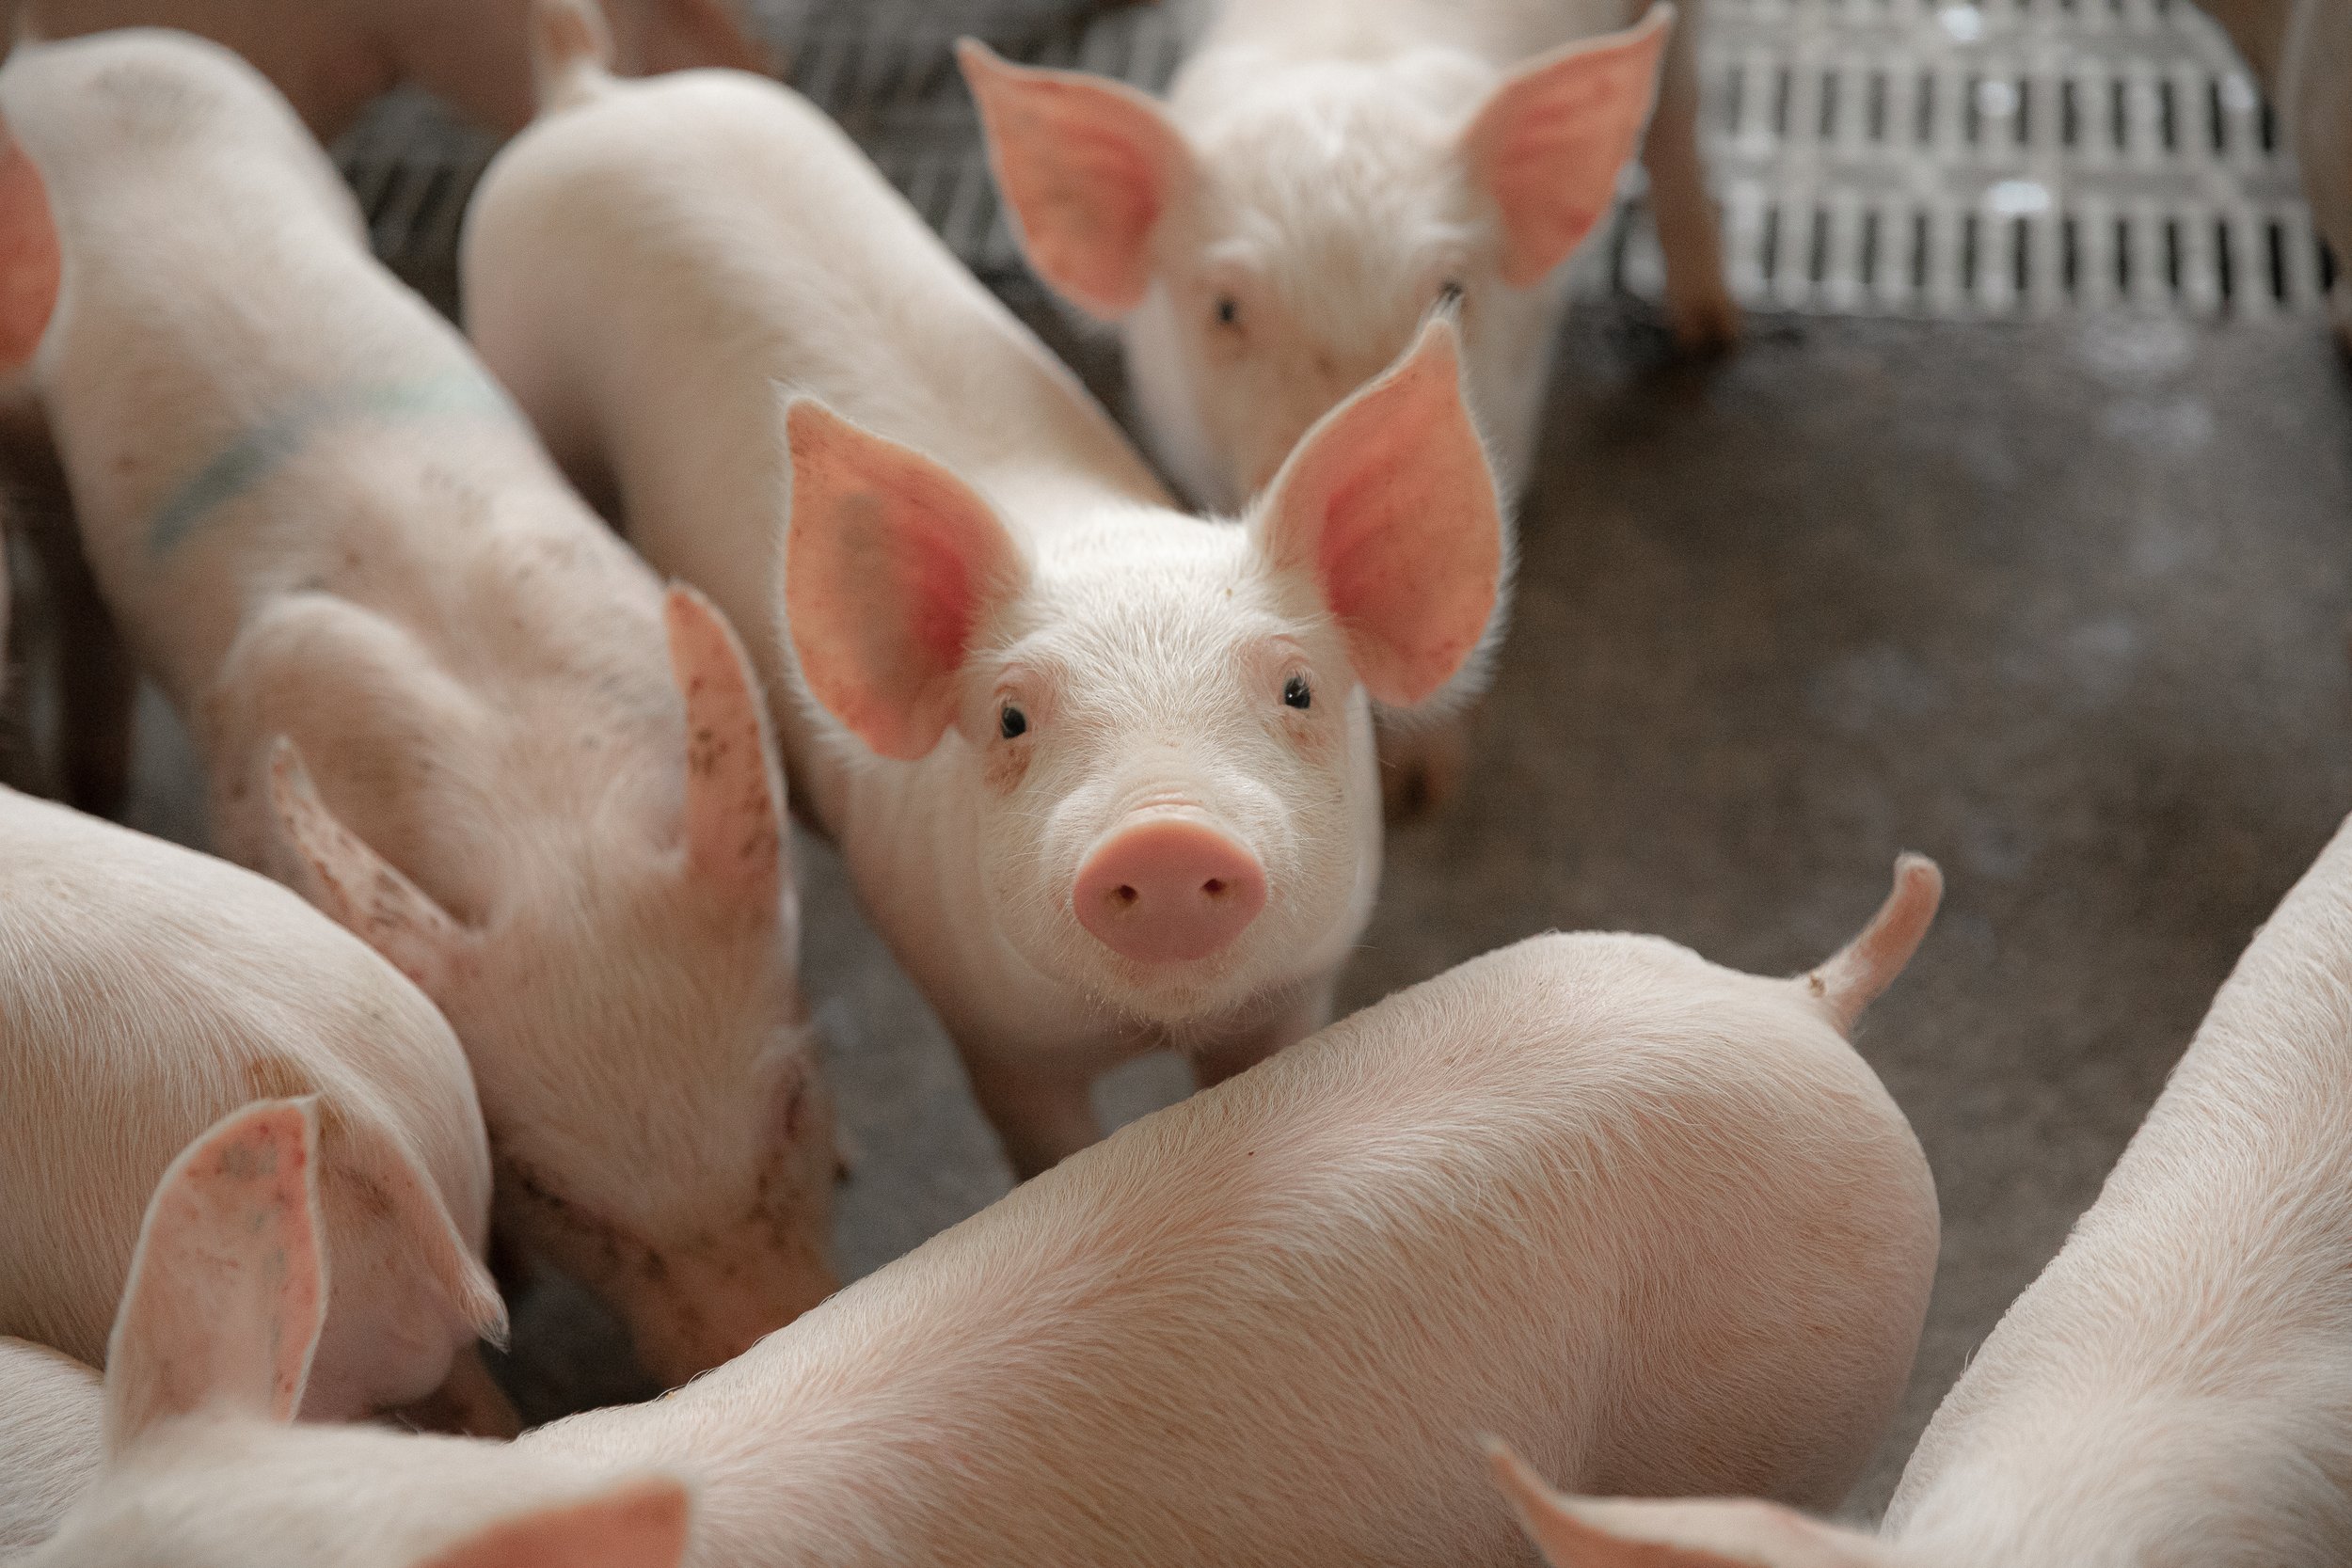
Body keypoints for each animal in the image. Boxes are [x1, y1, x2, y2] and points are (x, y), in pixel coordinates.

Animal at [462, 2, 1506, 1177]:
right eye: (1009, 717)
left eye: (1298, 690)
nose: (1164, 831)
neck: (1138, 1032)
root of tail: (587, 97)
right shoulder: (986, 1030)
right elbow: (1039, 1139)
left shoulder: (1292, 991)